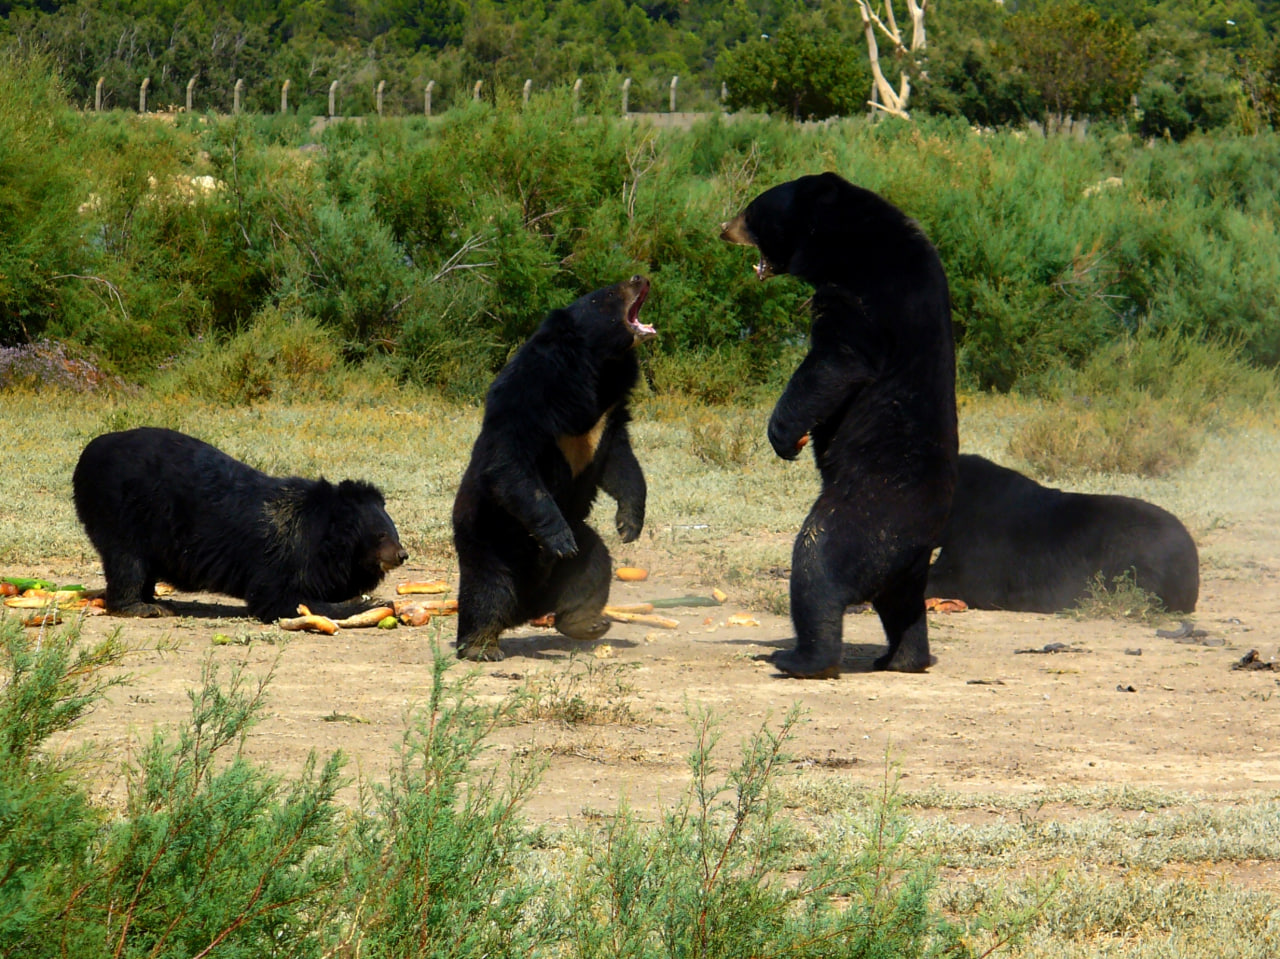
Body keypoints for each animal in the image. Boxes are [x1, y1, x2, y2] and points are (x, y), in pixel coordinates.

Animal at [71, 427, 409, 622]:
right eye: (381, 535)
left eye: (395, 533)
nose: (401, 555)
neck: (326, 536)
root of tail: (88, 452)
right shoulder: (282, 555)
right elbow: (278, 598)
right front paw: (369, 603)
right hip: (121, 510)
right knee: (126, 559)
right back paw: (142, 607)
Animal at [450, 268, 655, 660]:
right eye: (607, 294)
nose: (641, 277)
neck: (597, 369)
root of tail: (527, 607)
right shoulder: (528, 396)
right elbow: (511, 463)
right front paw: (559, 538)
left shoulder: (607, 415)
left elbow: (622, 464)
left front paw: (629, 524)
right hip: (488, 537)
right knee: (487, 589)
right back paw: (481, 645)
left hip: (582, 542)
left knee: (593, 567)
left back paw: (585, 623)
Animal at [721, 174, 962, 681]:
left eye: (752, 210)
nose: (723, 228)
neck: (842, 240)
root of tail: (919, 544)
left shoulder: (867, 291)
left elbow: (837, 360)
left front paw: (784, 434)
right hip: (905, 569)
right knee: (903, 608)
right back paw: (902, 658)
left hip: (864, 519)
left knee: (816, 571)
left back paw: (799, 659)